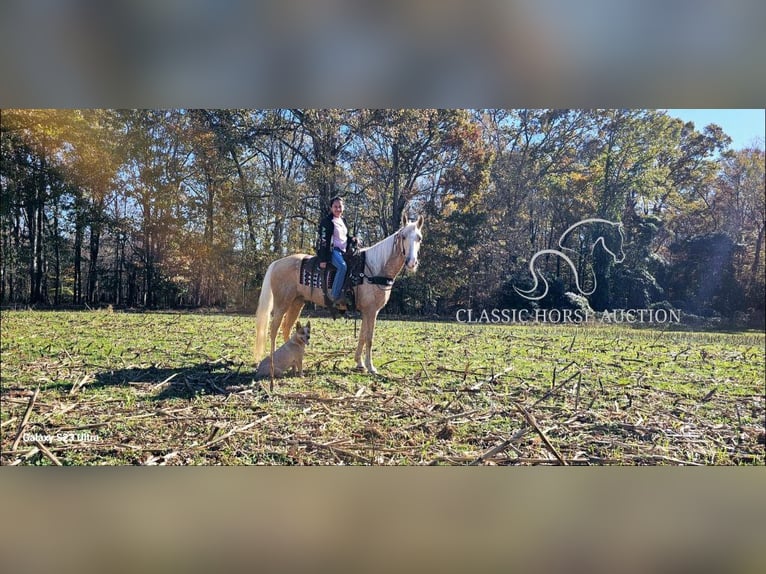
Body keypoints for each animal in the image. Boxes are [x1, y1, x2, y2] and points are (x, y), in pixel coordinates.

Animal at [256, 214, 426, 376]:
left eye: (419, 238)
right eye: (403, 236)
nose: (412, 262)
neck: (373, 269)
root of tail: (277, 263)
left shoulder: (367, 311)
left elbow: (362, 336)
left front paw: (360, 364)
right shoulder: (371, 311)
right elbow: (369, 338)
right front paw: (371, 367)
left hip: (297, 302)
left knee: (287, 328)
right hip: (282, 303)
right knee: (274, 329)